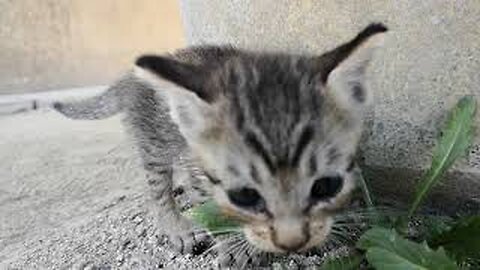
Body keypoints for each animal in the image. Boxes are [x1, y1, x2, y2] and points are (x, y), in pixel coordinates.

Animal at [54, 22, 388, 266]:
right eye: (245, 194)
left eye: (325, 185)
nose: (293, 242)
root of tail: (129, 79)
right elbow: (218, 210)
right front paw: (236, 245)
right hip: (153, 141)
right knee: (158, 191)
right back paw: (178, 227)